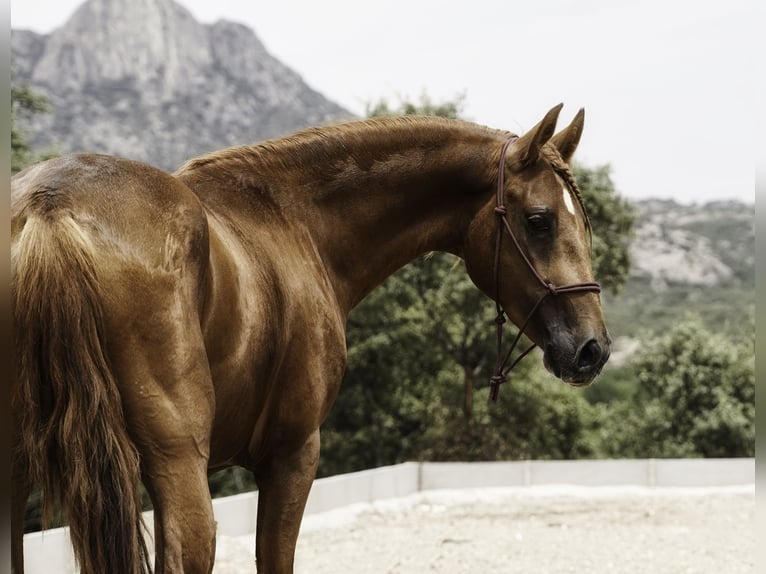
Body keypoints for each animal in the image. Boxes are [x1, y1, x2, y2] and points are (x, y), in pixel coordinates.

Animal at [11, 103, 611, 573]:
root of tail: (50, 204)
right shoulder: (293, 454)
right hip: (178, 465)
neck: (296, 222)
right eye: (539, 220)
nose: (593, 348)